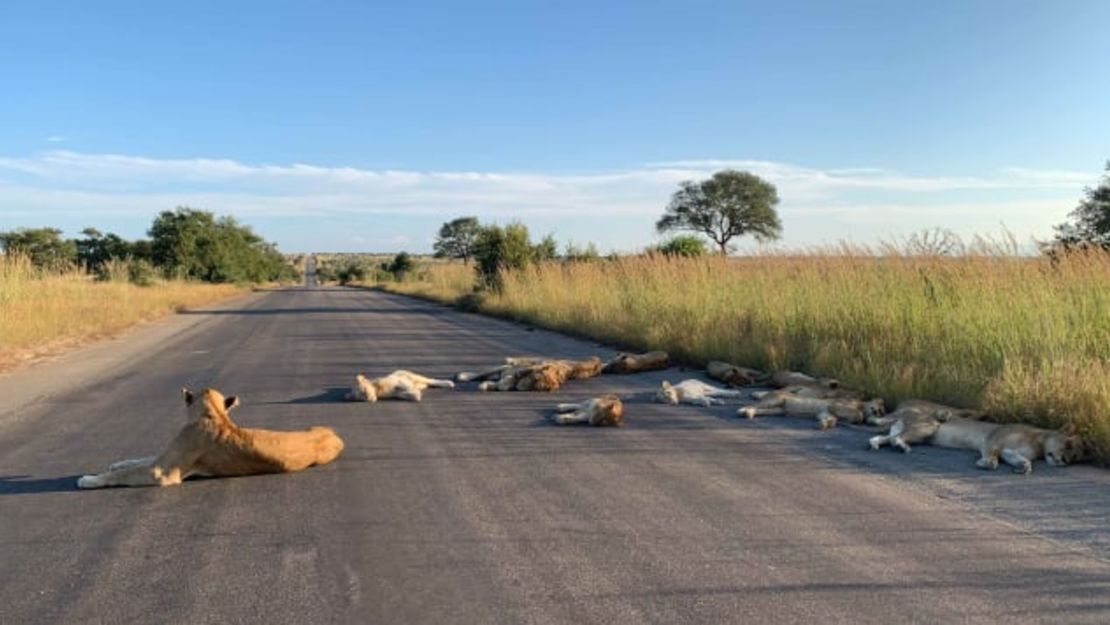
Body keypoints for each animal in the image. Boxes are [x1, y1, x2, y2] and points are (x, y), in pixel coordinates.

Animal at [76, 386, 344, 488]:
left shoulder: (163, 472)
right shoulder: (163, 459)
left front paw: (88, 479)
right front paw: (117, 462)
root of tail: (335, 435)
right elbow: (139, 460)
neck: (214, 414)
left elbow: (125, 473)